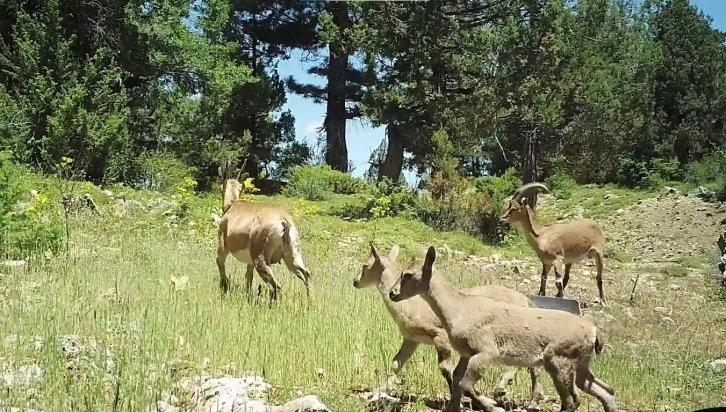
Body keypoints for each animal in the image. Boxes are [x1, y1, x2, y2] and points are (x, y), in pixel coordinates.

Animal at [213, 158, 310, 302]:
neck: (233, 205)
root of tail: (284, 221)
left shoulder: (223, 244)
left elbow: (220, 261)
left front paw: (224, 286)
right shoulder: (250, 262)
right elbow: (248, 276)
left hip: (260, 259)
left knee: (276, 286)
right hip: (292, 256)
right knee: (306, 274)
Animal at [356, 243, 544, 408]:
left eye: (365, 265)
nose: (355, 281)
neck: (412, 306)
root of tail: (527, 301)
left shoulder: (440, 336)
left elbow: (446, 369)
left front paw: (463, 400)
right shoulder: (412, 339)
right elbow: (397, 363)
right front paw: (376, 394)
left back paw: (505, 390)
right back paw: (531, 399)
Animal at [392, 245, 620, 412]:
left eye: (408, 274)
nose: (392, 293)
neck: (458, 308)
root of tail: (594, 332)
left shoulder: (486, 352)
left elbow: (464, 385)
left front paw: (491, 404)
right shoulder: (467, 353)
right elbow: (456, 380)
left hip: (559, 361)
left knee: (573, 400)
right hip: (580, 364)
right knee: (605, 391)